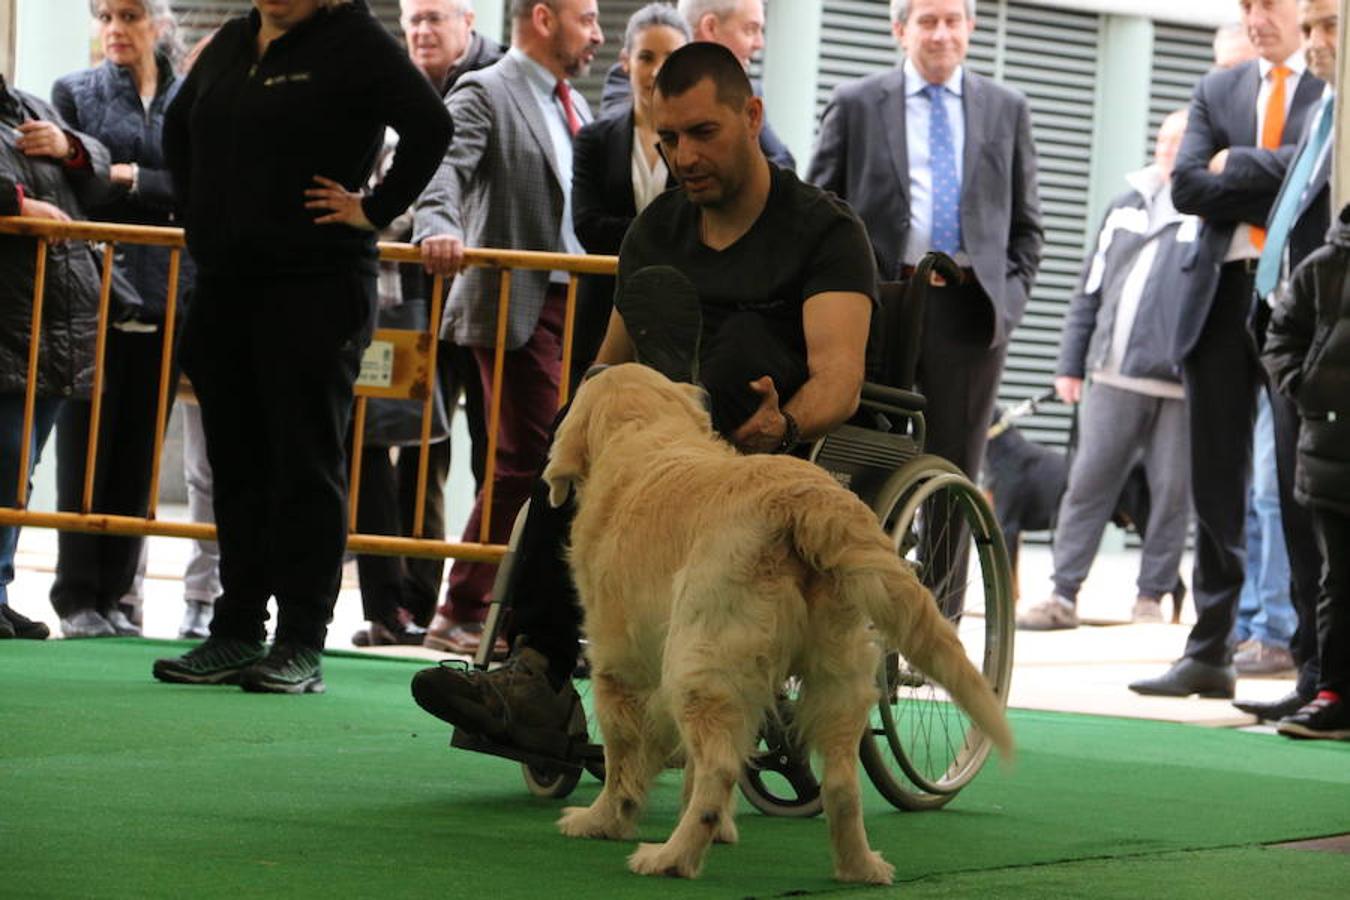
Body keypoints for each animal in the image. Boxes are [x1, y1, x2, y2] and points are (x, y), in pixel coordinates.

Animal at [542, 367, 1009, 885]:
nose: (593, 367)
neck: (645, 434)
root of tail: (805, 499)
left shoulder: (617, 663)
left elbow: (622, 758)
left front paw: (602, 820)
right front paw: (722, 832)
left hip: (699, 662)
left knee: (720, 767)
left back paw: (671, 858)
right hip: (836, 672)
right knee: (841, 782)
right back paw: (860, 867)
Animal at [982, 396, 1182, 623]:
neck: (1002, 452)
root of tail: (1140, 470)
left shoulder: (1008, 526)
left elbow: (1010, 577)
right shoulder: (1015, 532)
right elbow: (1015, 582)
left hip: (1144, 522)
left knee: (1178, 586)